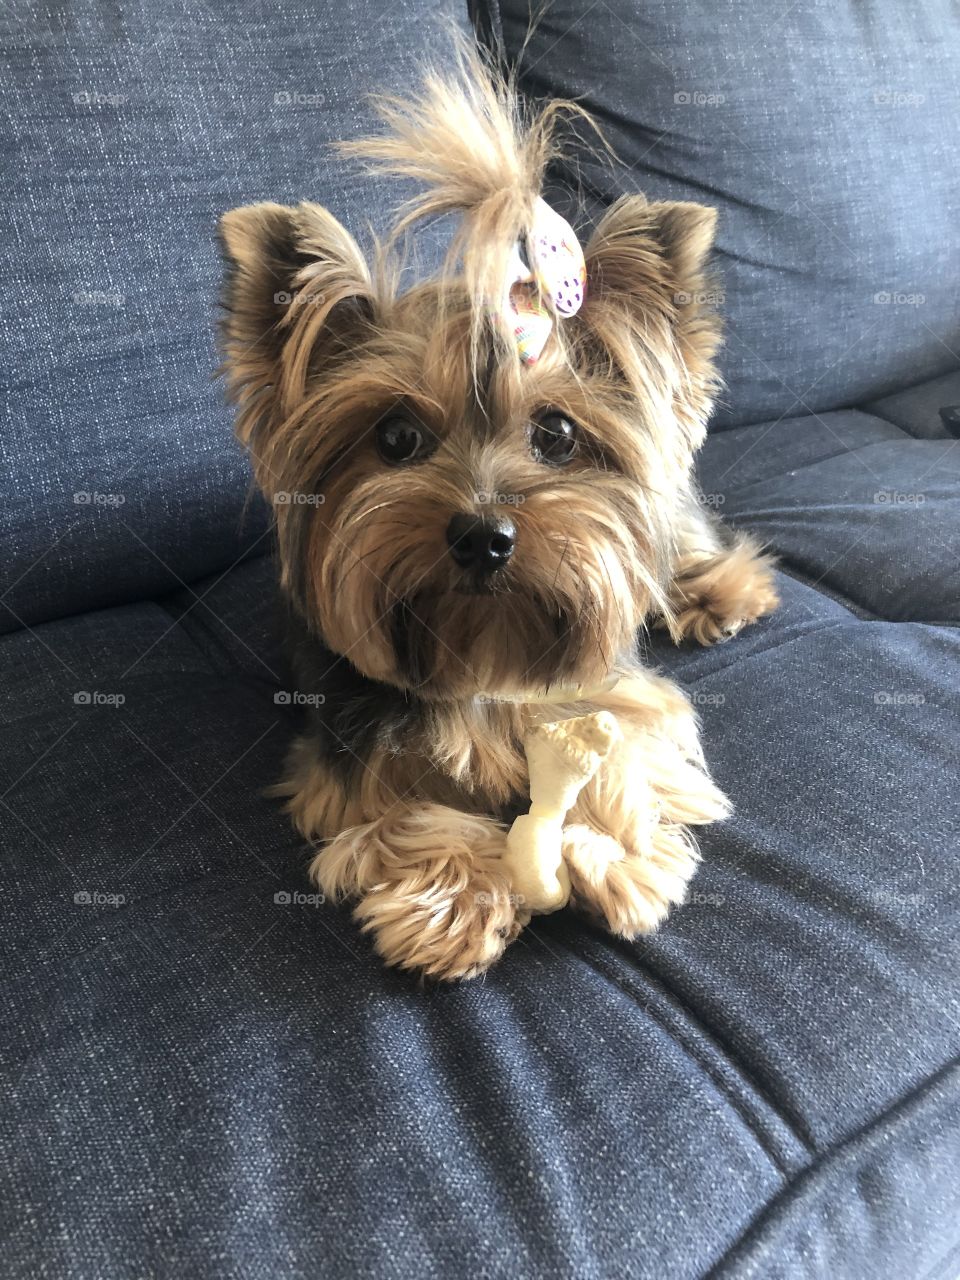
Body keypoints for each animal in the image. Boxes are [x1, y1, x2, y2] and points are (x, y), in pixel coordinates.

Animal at [220, 49, 783, 977]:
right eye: (397, 436)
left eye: (555, 433)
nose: (484, 536)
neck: (483, 652)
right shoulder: (341, 767)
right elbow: (398, 812)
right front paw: (455, 900)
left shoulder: (619, 693)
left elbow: (628, 745)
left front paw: (610, 851)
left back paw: (719, 595)